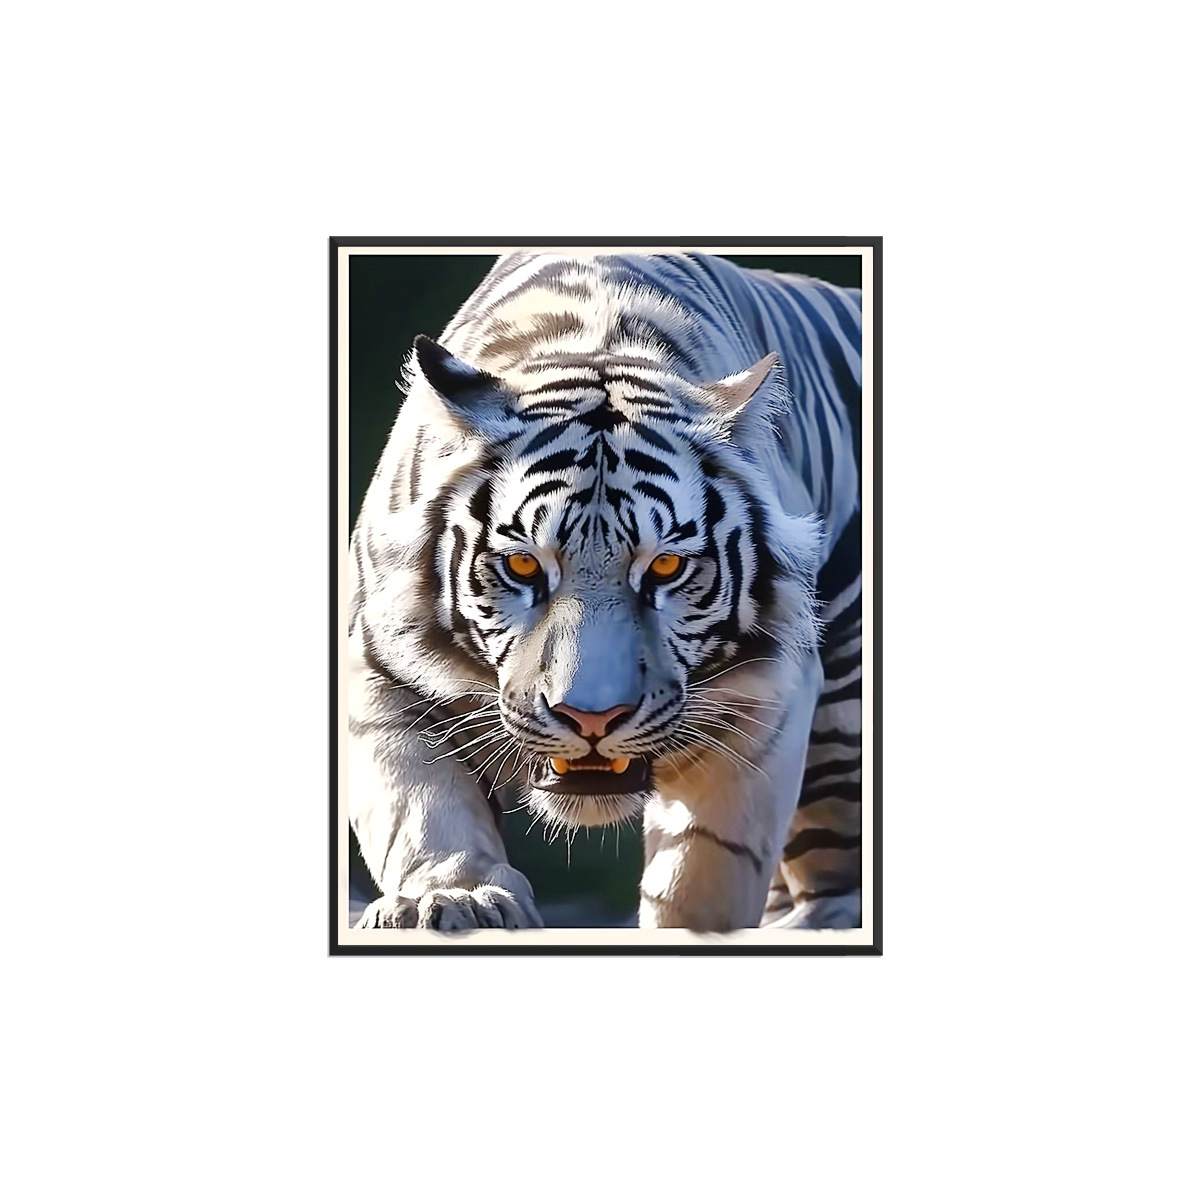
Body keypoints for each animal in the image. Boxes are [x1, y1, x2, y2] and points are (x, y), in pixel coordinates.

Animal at [349, 252, 863, 931]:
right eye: (525, 565)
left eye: (666, 566)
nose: (591, 718)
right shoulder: (378, 662)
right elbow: (418, 804)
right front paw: (457, 897)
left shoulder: (769, 691)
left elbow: (707, 860)